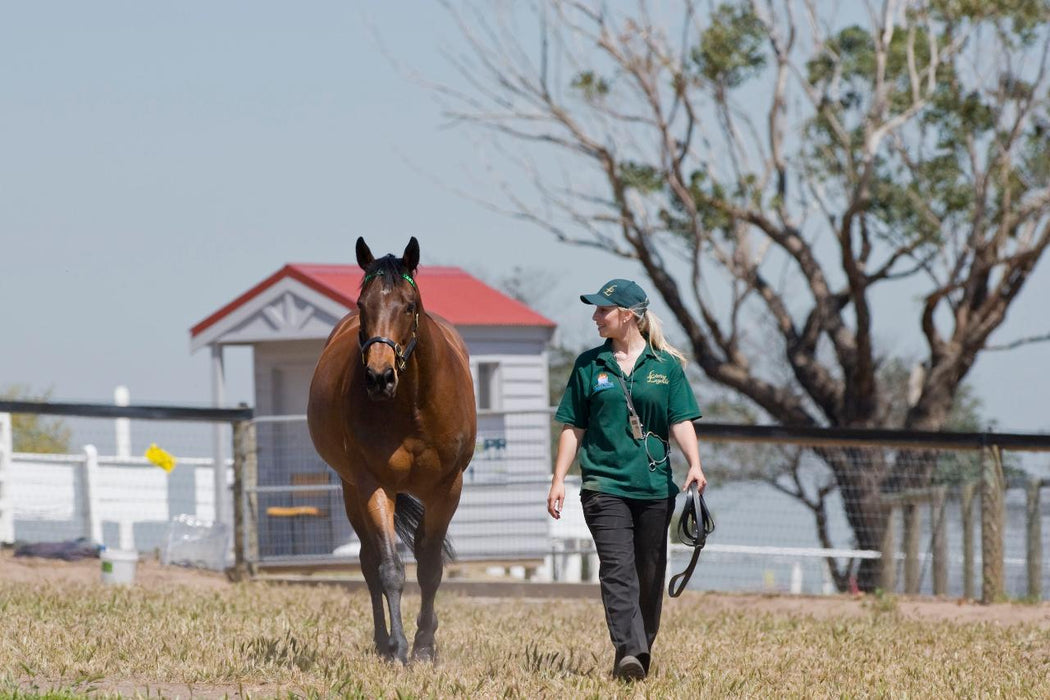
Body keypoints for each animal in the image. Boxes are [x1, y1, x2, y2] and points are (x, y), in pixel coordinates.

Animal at [306, 238, 474, 667]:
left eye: (409, 305)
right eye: (362, 304)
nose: (379, 377)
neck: (412, 406)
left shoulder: (447, 487)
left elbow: (430, 566)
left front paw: (425, 646)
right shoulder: (373, 484)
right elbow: (390, 568)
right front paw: (399, 647)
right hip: (351, 489)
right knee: (368, 561)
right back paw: (383, 643)